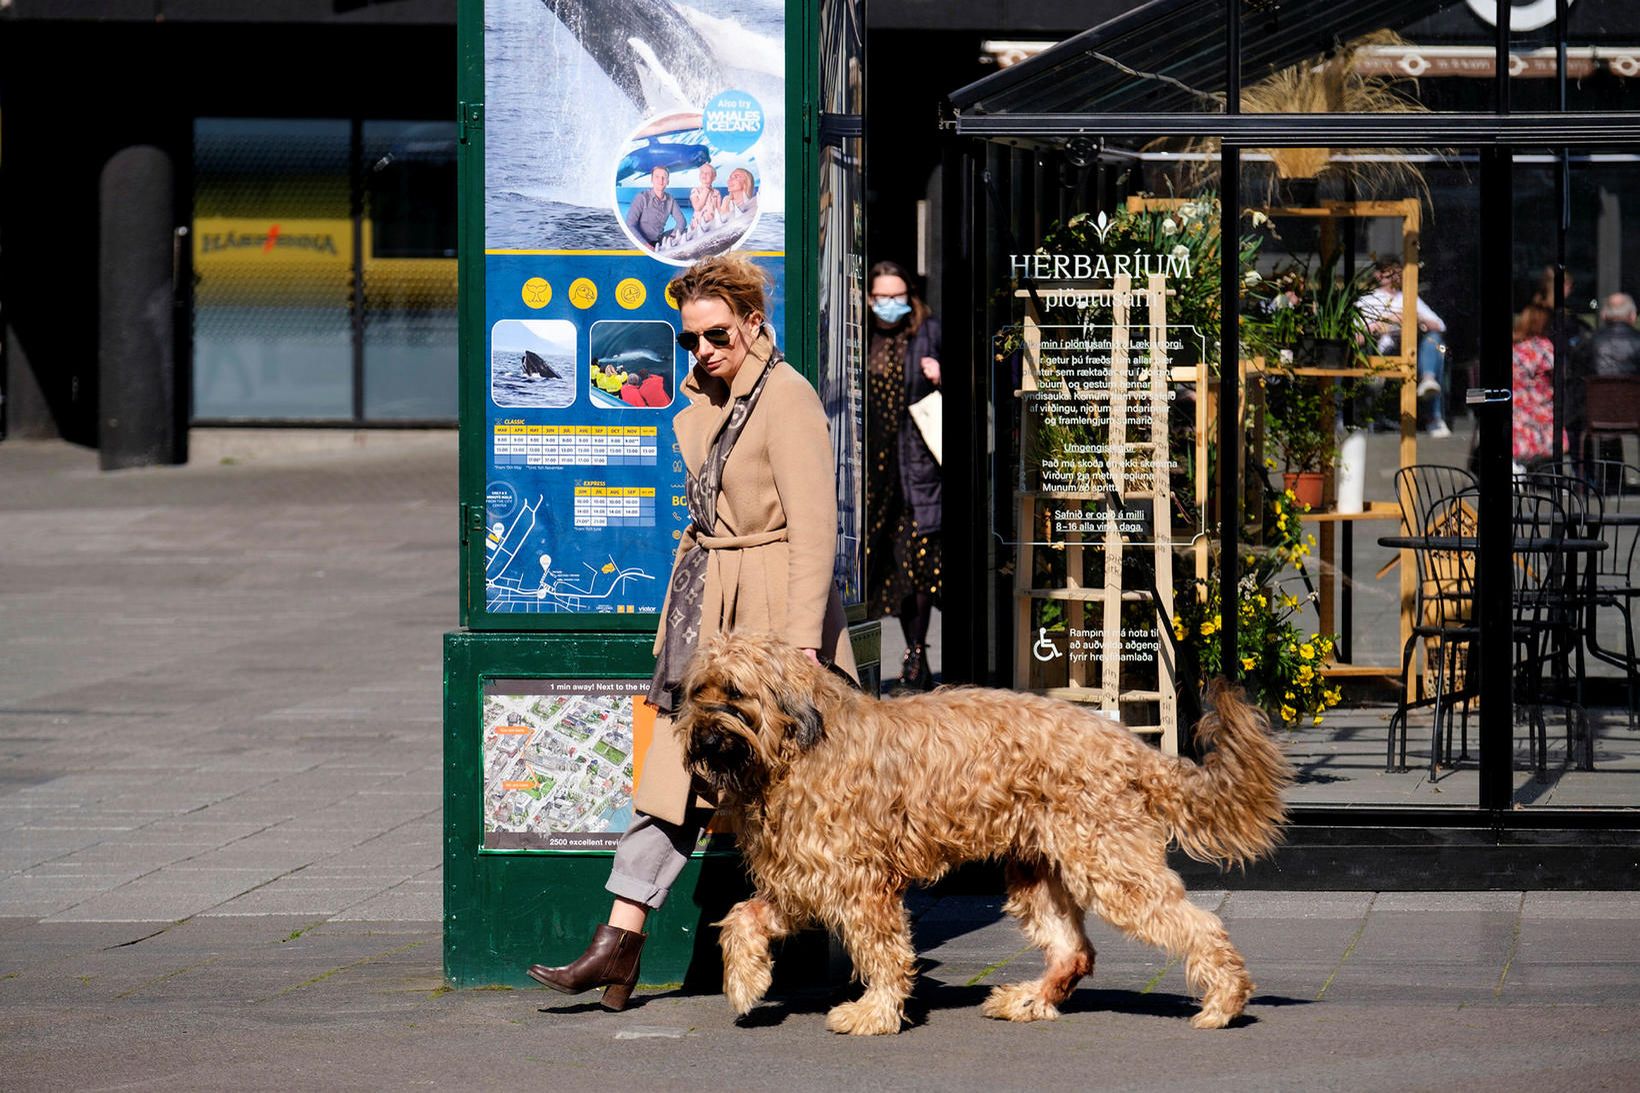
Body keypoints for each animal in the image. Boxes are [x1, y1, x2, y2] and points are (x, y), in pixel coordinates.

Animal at [675, 630, 1292, 1030]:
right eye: (698, 692)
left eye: (734, 693)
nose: (701, 739)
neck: (795, 748)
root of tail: (1130, 746)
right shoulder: (804, 876)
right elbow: (741, 917)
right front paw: (745, 981)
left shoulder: (858, 885)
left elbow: (883, 952)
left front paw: (874, 1012)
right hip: (1038, 872)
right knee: (1074, 952)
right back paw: (1029, 1001)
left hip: (1109, 864)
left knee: (1200, 926)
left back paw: (1224, 1003)